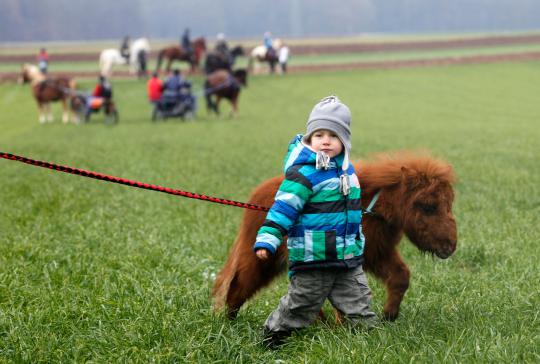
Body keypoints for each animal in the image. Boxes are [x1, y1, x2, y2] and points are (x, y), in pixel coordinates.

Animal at [213, 154, 458, 322]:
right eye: (427, 206)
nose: (450, 246)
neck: (370, 207)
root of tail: (256, 196)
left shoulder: (378, 253)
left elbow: (400, 277)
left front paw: (389, 315)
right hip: (261, 260)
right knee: (238, 284)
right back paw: (228, 322)